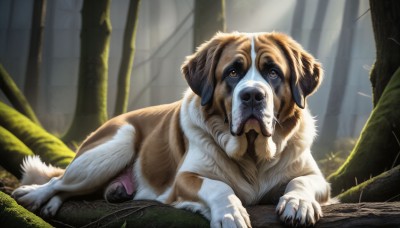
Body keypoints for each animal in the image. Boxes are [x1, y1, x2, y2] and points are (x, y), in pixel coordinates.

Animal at [12, 31, 332, 226]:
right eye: (232, 72)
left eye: (273, 72)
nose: (252, 95)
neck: (252, 153)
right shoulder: (185, 178)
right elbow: (219, 186)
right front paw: (231, 214)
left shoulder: (318, 178)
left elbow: (302, 182)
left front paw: (298, 204)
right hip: (115, 145)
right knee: (59, 181)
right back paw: (35, 195)